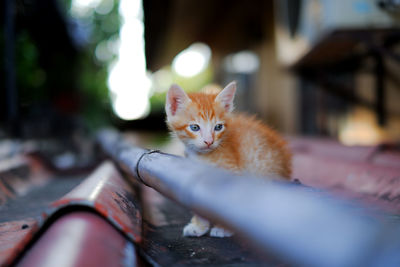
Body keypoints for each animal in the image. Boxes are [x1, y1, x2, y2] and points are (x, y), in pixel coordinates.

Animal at [164, 81, 292, 239]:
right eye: (194, 127)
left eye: (218, 127)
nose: (209, 141)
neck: (203, 156)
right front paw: (199, 226)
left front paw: (223, 228)